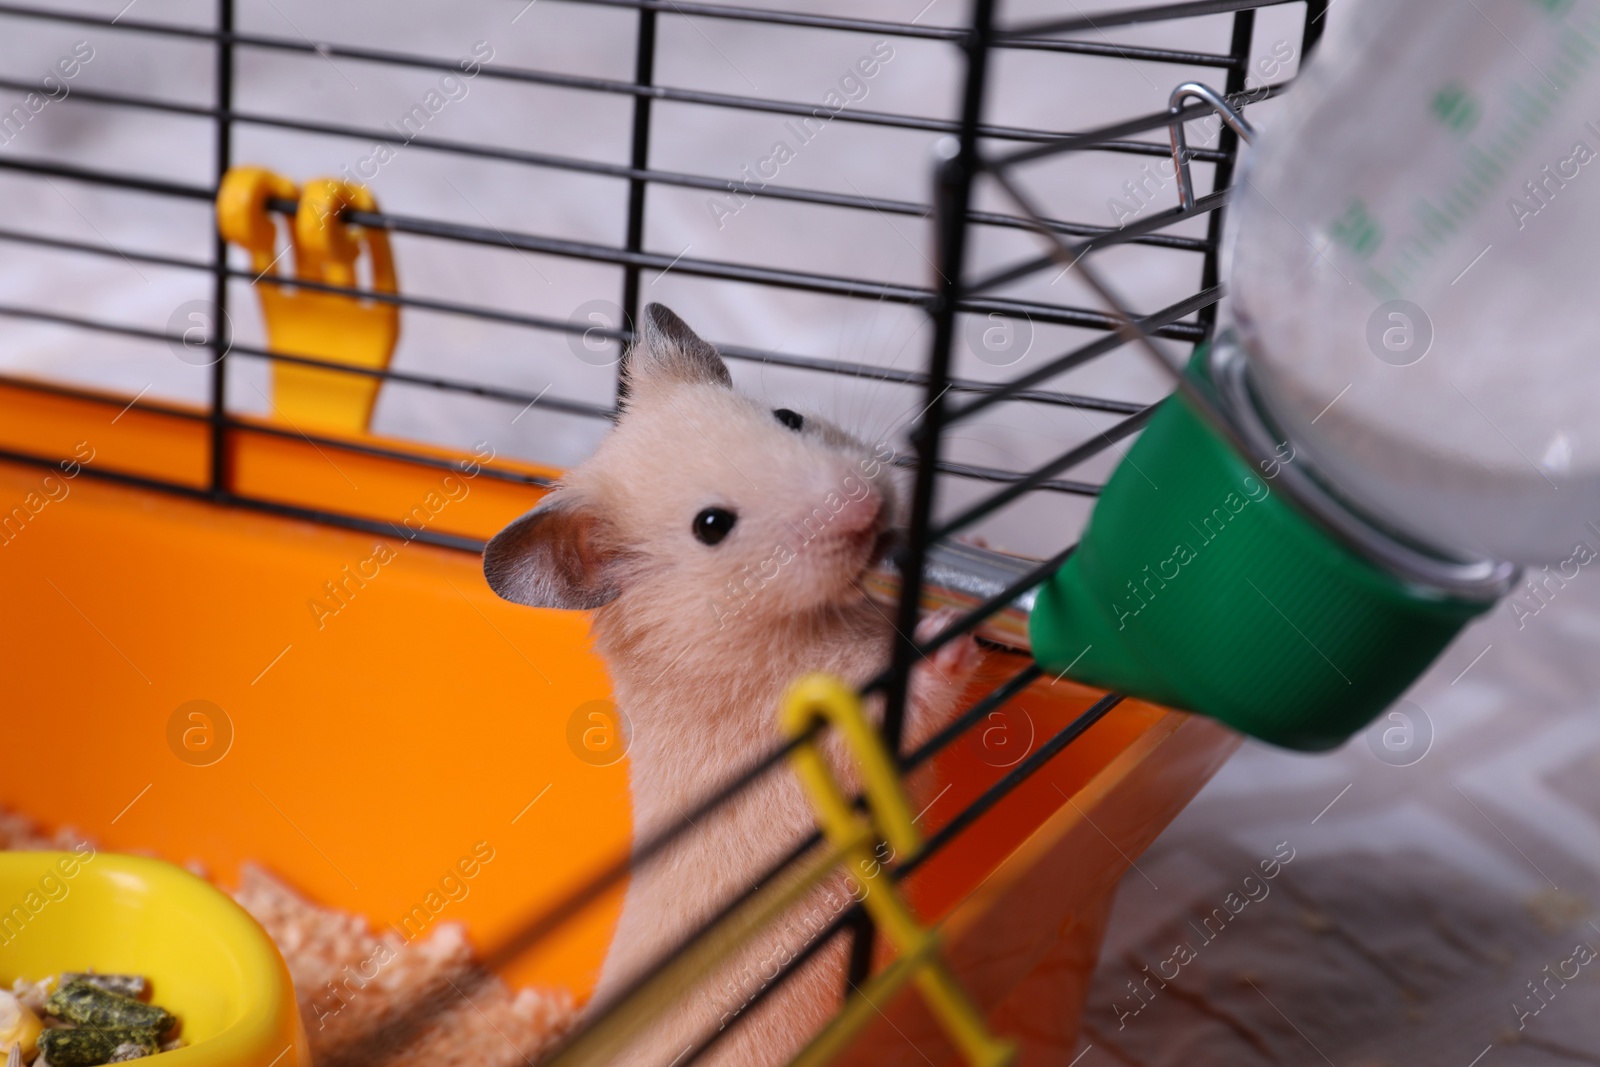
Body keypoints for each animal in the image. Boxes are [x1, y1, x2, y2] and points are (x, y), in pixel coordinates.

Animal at [480, 303, 979, 1062]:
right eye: (712, 526)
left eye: (789, 416)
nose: (865, 506)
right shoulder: (845, 727)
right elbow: (918, 693)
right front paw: (952, 630)